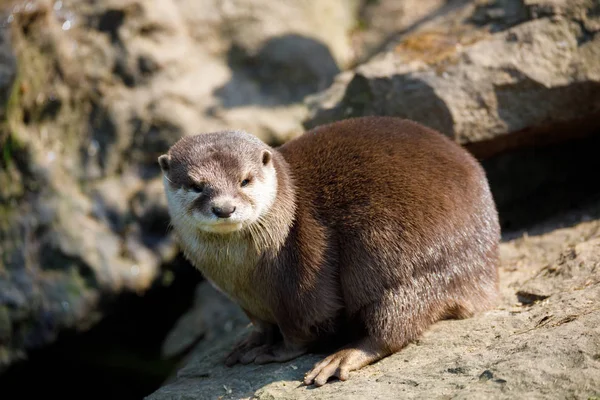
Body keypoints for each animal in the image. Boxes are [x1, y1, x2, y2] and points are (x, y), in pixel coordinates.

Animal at [157, 116, 500, 388]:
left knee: (395, 324)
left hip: (400, 257)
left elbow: (303, 327)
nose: (224, 208)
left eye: (245, 180)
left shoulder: (301, 277)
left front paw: (274, 351)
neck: (241, 275)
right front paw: (250, 341)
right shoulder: (244, 300)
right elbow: (262, 324)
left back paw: (342, 358)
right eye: (196, 185)